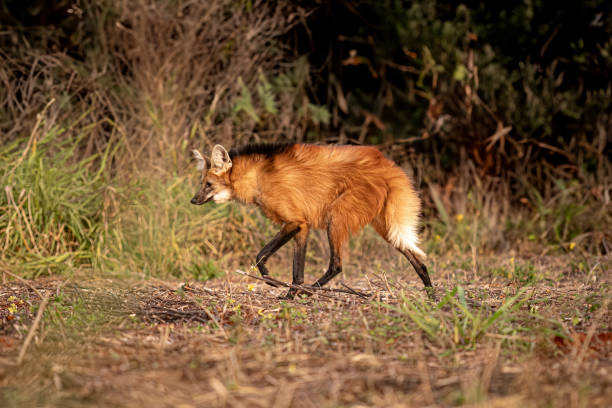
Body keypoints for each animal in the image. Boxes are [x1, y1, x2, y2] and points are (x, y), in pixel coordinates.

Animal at [191, 145, 430, 298]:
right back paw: (432, 295)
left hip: (336, 218)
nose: (193, 200)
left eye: (208, 185)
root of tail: (388, 165)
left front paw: (278, 285)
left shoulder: (295, 222)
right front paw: (290, 293)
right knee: (418, 260)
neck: (256, 179)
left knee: (336, 265)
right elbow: (296, 270)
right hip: (386, 227)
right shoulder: (301, 226)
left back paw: (311, 291)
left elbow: (261, 256)